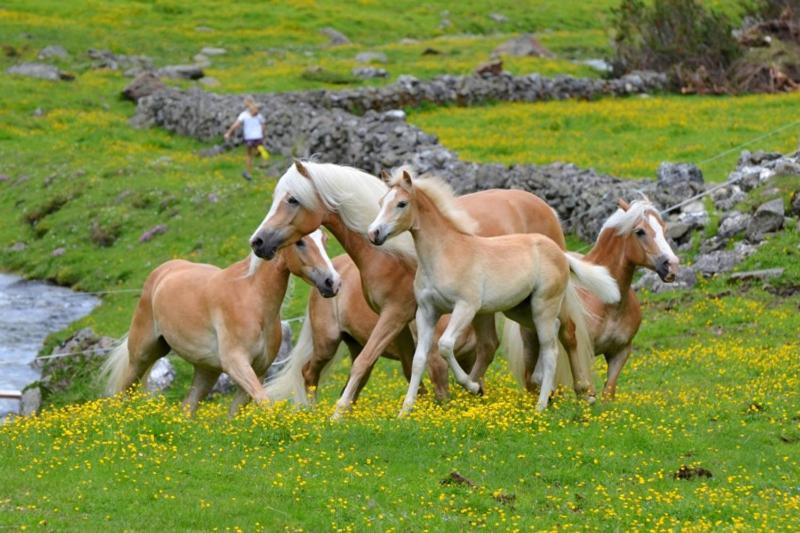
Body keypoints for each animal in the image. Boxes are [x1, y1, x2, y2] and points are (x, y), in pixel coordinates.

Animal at [100, 229, 340, 416]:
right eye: (300, 242)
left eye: (324, 239)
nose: (332, 282)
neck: (253, 300)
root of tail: (162, 272)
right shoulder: (237, 363)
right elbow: (265, 403)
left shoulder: (258, 370)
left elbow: (235, 414)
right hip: (143, 355)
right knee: (122, 391)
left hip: (206, 370)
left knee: (187, 407)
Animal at [250, 160, 576, 418]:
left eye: (292, 199)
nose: (258, 242)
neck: (387, 253)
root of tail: (545, 207)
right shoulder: (405, 319)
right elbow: (410, 365)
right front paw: (417, 406)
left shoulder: (397, 314)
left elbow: (371, 361)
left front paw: (340, 412)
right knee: (500, 345)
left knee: (563, 336)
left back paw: (576, 392)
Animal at [366, 168, 620, 414]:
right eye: (381, 202)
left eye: (401, 203)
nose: (374, 233)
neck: (445, 253)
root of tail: (559, 252)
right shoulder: (427, 311)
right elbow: (419, 359)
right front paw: (405, 411)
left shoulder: (466, 307)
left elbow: (445, 345)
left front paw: (473, 386)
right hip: (521, 310)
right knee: (551, 334)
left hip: (543, 306)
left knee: (553, 348)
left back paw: (544, 404)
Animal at [506, 197, 676, 396]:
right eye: (640, 231)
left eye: (664, 229)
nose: (672, 266)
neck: (607, 300)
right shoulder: (585, 352)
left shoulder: (620, 352)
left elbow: (608, 393)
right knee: (531, 380)